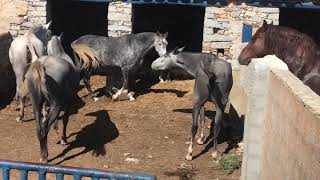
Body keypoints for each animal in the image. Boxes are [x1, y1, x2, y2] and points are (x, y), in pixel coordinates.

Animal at [25, 34, 80, 162]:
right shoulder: (68, 102)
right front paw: (63, 139)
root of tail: (42, 66)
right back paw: (45, 156)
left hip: (36, 104)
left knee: (39, 128)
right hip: (57, 105)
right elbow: (65, 119)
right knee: (45, 127)